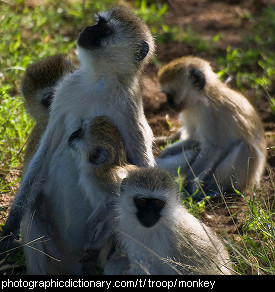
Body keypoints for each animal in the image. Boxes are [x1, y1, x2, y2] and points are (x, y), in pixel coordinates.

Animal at [1, 6, 155, 274]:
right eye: (97, 22)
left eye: (105, 29)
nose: (87, 29)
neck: (98, 81)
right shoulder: (65, 91)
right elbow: (44, 153)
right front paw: (10, 226)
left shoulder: (129, 107)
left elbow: (141, 167)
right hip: (55, 251)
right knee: (33, 208)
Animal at [157, 56, 268, 200]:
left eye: (170, 96)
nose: (168, 104)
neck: (201, 97)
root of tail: (255, 180)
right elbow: (195, 140)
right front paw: (166, 150)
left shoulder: (211, 112)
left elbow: (212, 147)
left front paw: (187, 186)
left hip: (245, 178)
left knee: (245, 147)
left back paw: (215, 189)